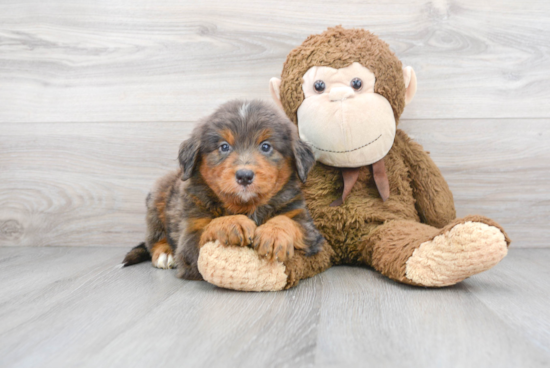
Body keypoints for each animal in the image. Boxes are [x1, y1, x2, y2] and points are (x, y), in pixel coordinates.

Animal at [123, 99, 326, 280]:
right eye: (224, 146)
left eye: (266, 146)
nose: (244, 176)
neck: (246, 206)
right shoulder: (189, 235)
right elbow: (209, 226)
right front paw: (231, 223)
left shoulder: (306, 225)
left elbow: (286, 221)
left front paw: (274, 235)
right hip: (157, 199)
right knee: (154, 239)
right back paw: (165, 253)